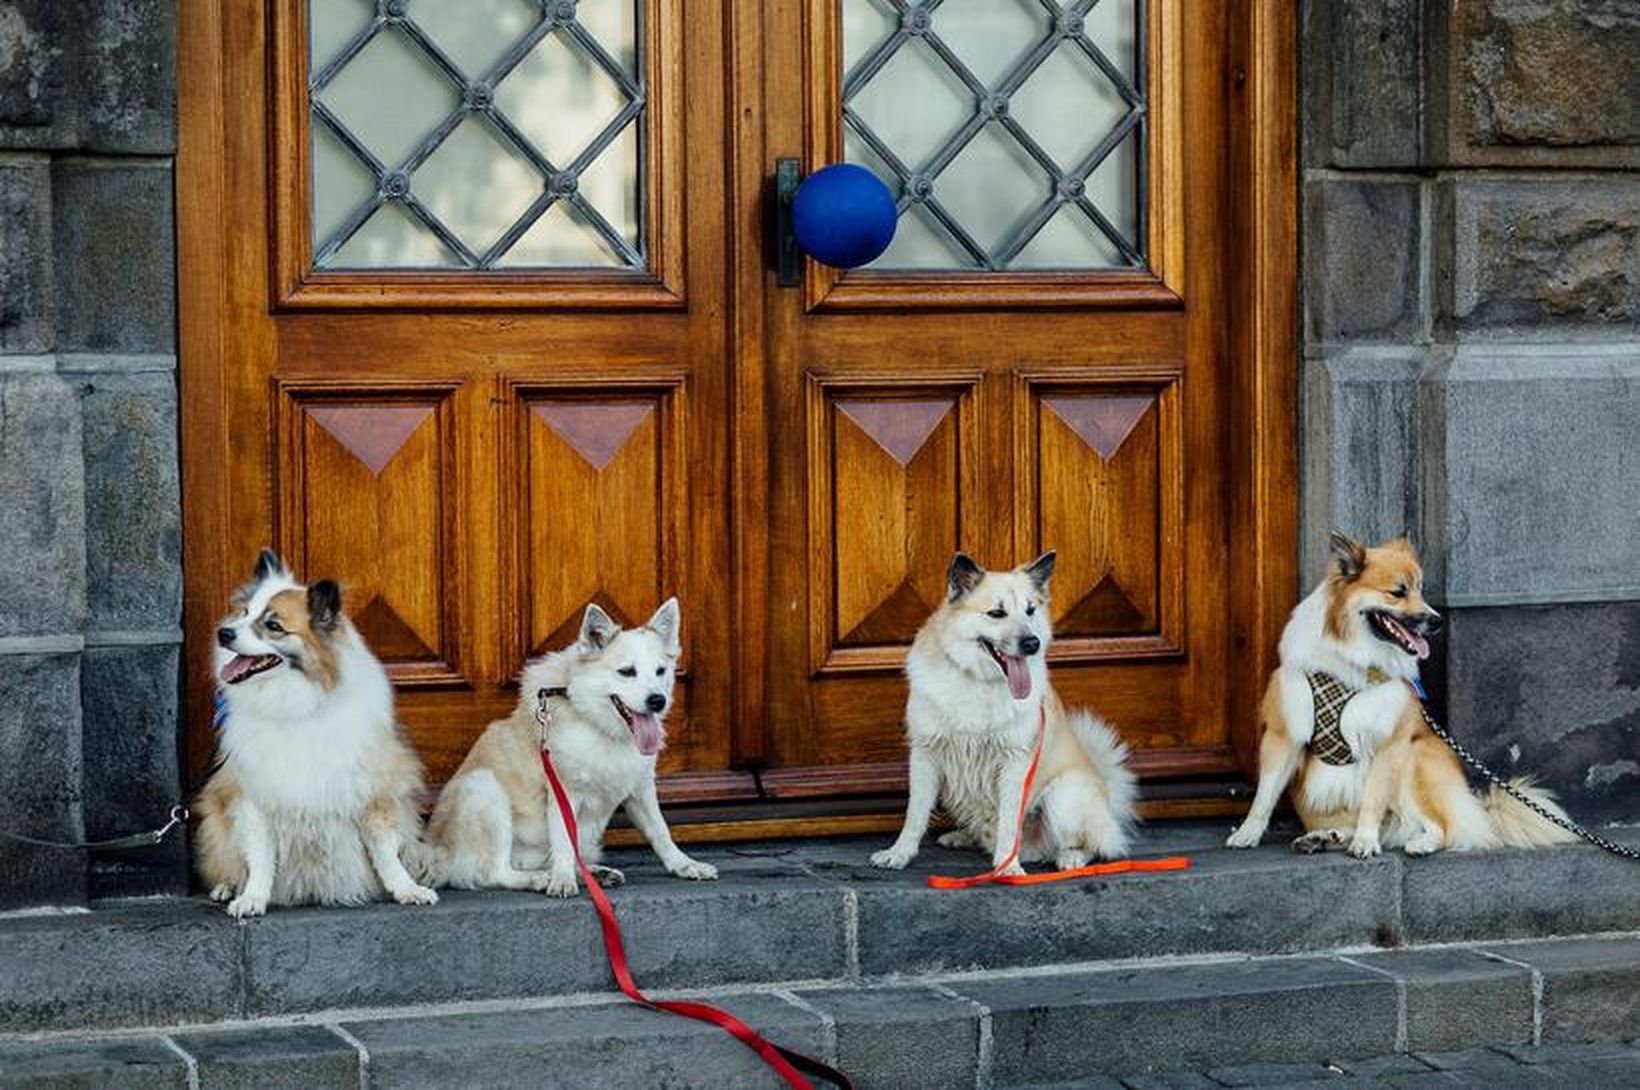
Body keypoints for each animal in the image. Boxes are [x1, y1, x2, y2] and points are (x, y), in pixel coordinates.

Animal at [192, 547, 439, 911]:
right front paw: (253, 898)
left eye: (274, 626)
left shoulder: (370, 791)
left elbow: (385, 852)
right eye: (244, 613)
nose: (223, 632)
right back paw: (227, 887)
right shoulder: (252, 797)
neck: (295, 707)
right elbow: (260, 857)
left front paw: (406, 889)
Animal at [419, 599, 715, 898]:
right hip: (484, 789)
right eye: (627, 672)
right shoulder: (563, 793)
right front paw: (561, 880)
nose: (658, 701)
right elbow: (563, 841)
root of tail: (436, 857)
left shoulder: (640, 789)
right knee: (494, 872)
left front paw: (684, 864)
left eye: (660, 671)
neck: (597, 723)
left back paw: (594, 874)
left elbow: (660, 831)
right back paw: (540, 878)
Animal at [1233, 531, 1574, 852]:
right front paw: (1248, 833)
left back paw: (1419, 844)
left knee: (1444, 829)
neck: (1356, 660)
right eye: (1398, 592)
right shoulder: (1283, 734)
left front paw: (1366, 842)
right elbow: (1264, 795)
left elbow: (1372, 800)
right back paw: (1324, 837)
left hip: (1415, 761)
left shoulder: (1388, 742)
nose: (1437, 621)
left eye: (1420, 589)